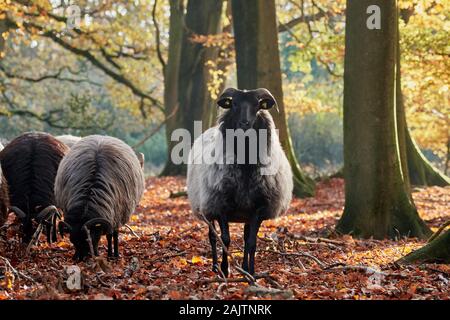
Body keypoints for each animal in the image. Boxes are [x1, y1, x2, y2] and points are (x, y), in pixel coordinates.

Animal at [185, 87, 294, 276]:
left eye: (258, 105)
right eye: (234, 104)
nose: (245, 123)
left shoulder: (258, 208)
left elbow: (251, 242)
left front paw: (251, 272)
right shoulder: (220, 206)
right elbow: (225, 239)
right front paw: (225, 270)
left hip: (244, 213)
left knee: (244, 237)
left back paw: (243, 268)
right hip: (207, 207)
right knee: (212, 237)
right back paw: (215, 267)